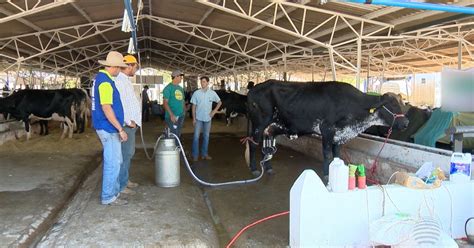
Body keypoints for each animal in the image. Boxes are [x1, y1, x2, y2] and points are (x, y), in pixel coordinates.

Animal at [246, 80, 410, 179]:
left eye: (402, 104)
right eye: (392, 105)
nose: (406, 123)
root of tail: (253, 89)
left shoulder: (338, 135)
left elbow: (337, 155)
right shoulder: (327, 129)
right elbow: (327, 154)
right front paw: (326, 175)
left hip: (271, 127)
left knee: (267, 144)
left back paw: (268, 168)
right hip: (259, 124)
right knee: (253, 144)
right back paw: (254, 169)